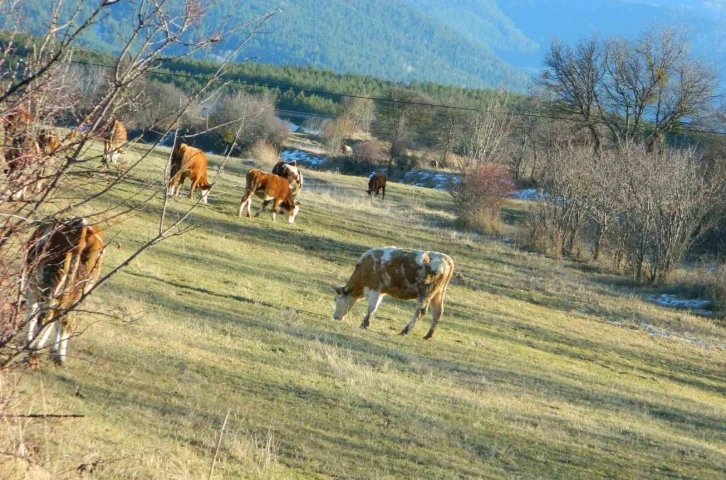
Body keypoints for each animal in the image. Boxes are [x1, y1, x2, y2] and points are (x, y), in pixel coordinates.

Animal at [24, 218, 105, 364]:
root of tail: (83, 226)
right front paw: (53, 350)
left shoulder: (32, 284)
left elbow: (31, 310)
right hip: (82, 287)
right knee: (65, 318)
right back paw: (59, 356)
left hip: (50, 279)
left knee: (46, 315)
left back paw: (32, 347)